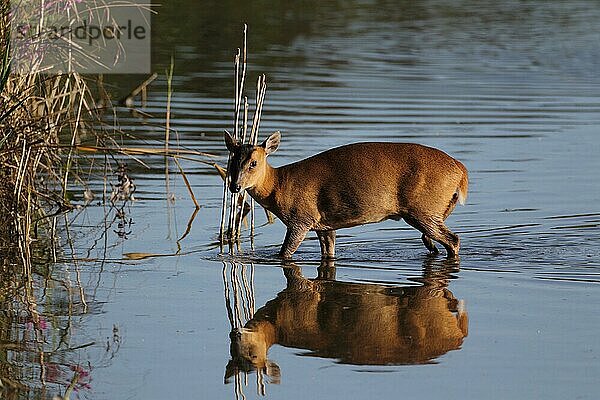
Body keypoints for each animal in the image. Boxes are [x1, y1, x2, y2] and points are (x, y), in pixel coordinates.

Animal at [225, 130, 468, 258]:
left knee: (452, 239)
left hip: (423, 209)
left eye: (253, 163)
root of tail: (461, 170)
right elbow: (329, 253)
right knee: (433, 239)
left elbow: (285, 253)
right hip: (437, 209)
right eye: (231, 161)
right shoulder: (324, 224)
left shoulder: (301, 218)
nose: (235, 187)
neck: (279, 186)